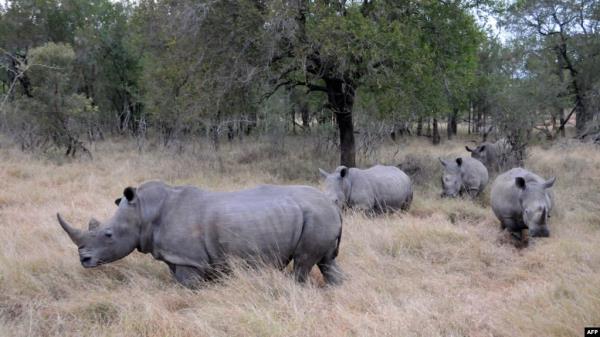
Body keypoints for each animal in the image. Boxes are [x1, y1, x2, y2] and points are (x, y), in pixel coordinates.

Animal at [59, 181, 346, 286]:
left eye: (108, 234)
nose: (84, 260)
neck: (143, 213)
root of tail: (333, 206)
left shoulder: (189, 260)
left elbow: (189, 287)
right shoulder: (180, 258)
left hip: (316, 217)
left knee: (303, 263)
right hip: (319, 216)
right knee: (327, 262)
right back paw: (336, 289)